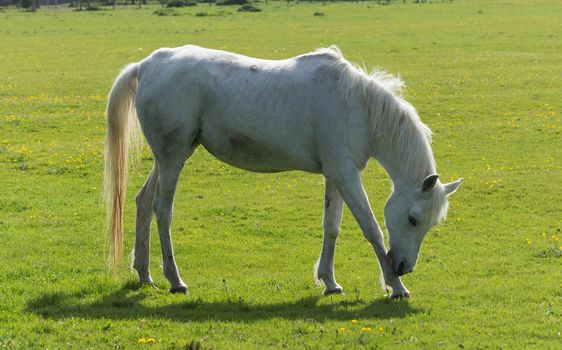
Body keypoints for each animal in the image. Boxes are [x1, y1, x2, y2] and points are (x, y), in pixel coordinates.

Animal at [104, 45, 460, 300]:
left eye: (430, 224)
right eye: (413, 219)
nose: (403, 267)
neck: (356, 107)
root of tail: (147, 65)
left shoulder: (336, 175)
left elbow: (331, 227)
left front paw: (329, 282)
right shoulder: (346, 175)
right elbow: (372, 228)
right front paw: (395, 287)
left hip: (170, 158)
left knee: (142, 202)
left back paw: (144, 274)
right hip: (173, 158)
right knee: (162, 210)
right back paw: (175, 280)